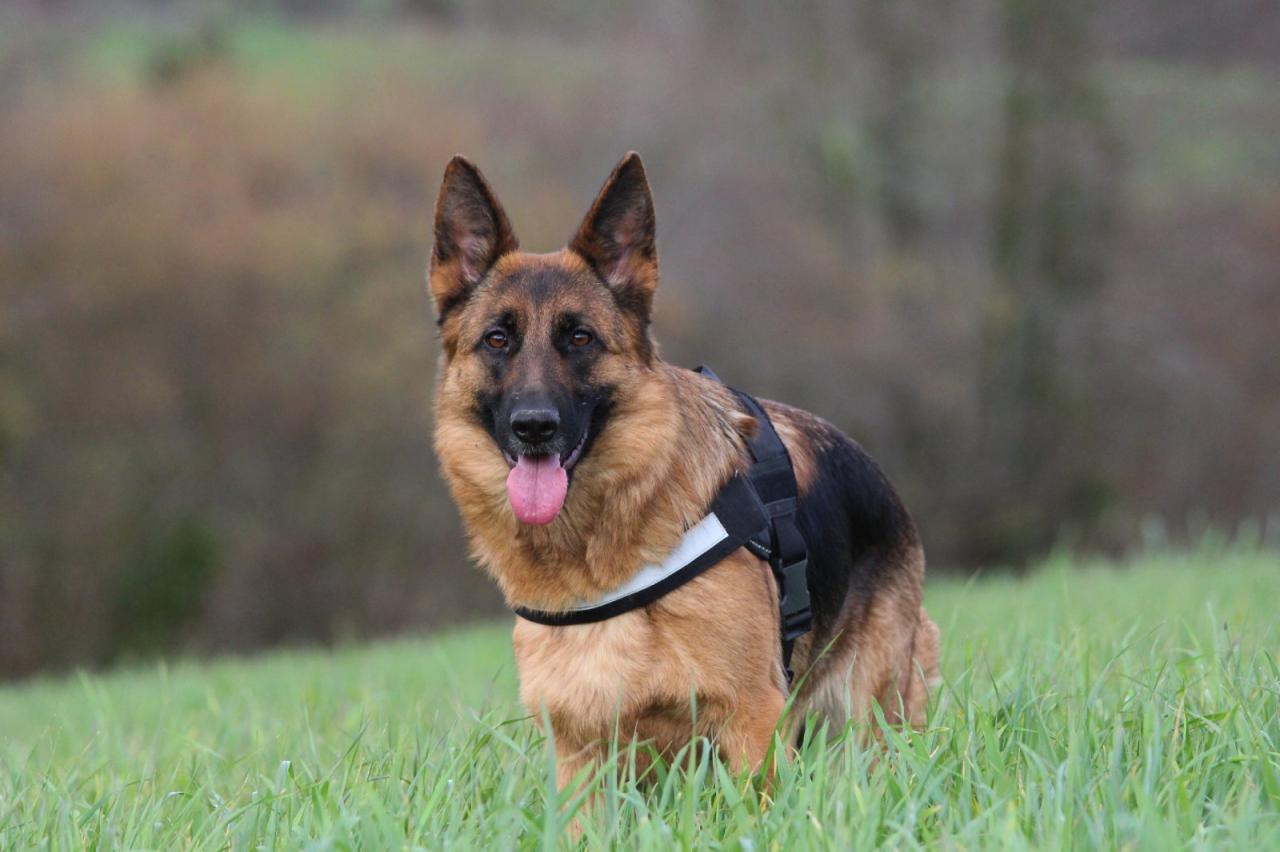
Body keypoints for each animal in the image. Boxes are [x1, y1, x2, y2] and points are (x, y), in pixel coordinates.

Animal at [430, 150, 942, 782]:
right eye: (497, 339)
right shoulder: (581, 758)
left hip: (870, 726)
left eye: (580, 338)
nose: (534, 426)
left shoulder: (754, 724)